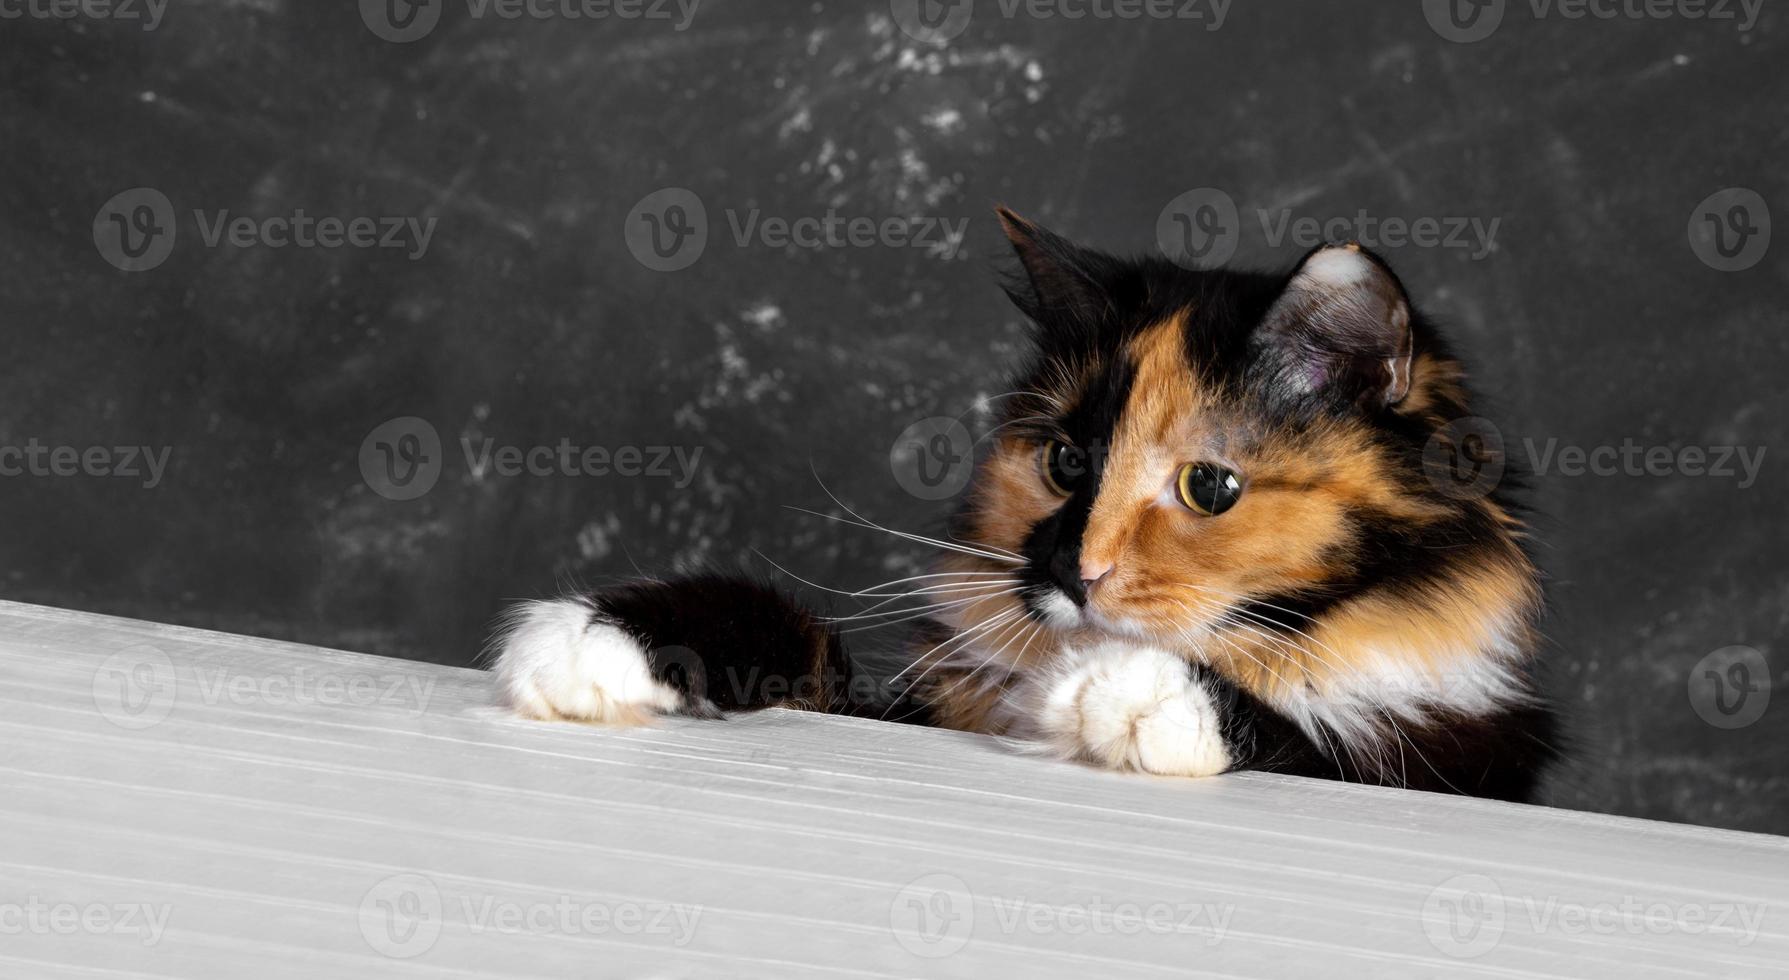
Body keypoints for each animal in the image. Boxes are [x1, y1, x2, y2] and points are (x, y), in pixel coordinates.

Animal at [486, 210, 1552, 801]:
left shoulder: (1462, 767)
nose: (1073, 572)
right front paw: (595, 641)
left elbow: (1309, 734)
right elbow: (796, 637)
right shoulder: (899, 710)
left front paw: (1133, 695)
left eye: (1208, 486)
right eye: (1066, 463)